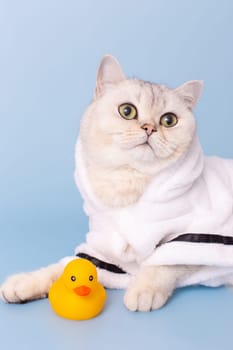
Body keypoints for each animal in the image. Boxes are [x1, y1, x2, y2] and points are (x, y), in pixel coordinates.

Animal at [1, 55, 233, 312]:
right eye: (127, 111)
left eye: (169, 120)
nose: (149, 128)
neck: (126, 180)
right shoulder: (104, 252)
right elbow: (61, 269)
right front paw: (25, 282)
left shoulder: (192, 237)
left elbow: (161, 264)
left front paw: (143, 291)